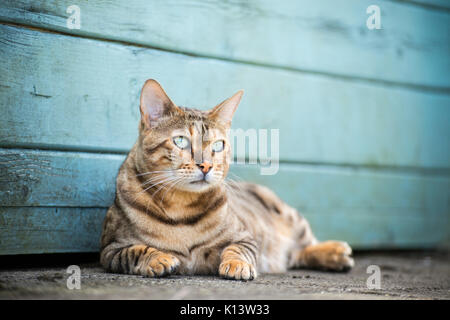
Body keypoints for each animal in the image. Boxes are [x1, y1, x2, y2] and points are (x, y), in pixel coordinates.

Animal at [99, 80, 356, 280]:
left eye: (217, 145)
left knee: (304, 244)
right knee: (294, 256)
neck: (181, 208)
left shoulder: (244, 236)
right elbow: (136, 251)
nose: (206, 165)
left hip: (286, 213)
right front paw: (158, 258)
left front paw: (237, 264)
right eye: (181, 141)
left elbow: (237, 249)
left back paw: (335, 251)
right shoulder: (110, 249)